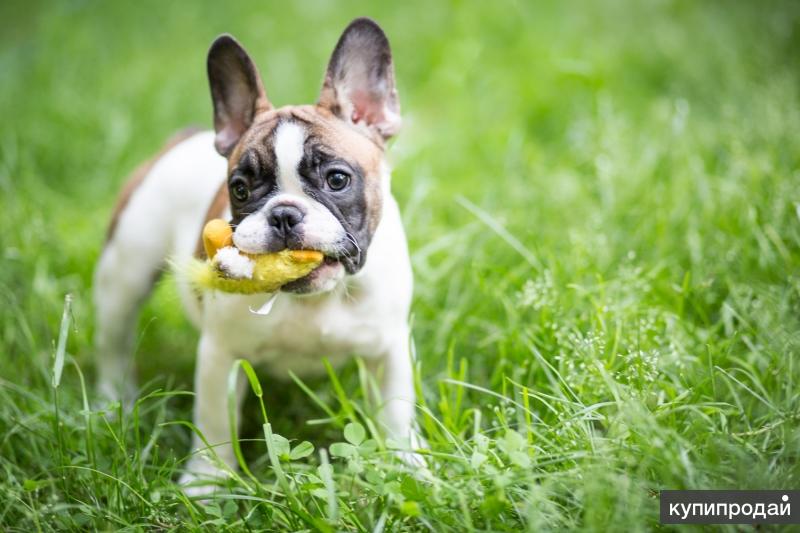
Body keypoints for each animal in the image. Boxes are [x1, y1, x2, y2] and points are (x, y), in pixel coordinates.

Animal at [92, 16, 418, 492]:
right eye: (241, 189)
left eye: (337, 179)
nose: (283, 214)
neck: (311, 300)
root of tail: (184, 138)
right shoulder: (220, 354)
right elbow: (213, 425)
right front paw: (205, 485)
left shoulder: (389, 349)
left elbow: (396, 413)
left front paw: (407, 467)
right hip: (124, 270)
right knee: (114, 340)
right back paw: (109, 402)